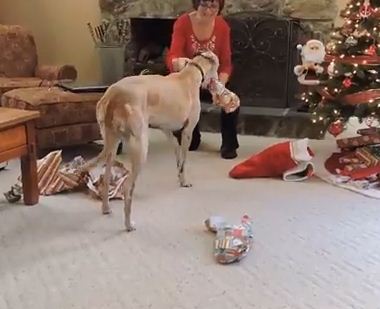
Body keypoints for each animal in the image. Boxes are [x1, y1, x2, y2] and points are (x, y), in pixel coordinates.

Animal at [81, 50, 221, 230]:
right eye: (217, 64)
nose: (218, 79)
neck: (189, 74)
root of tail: (113, 96)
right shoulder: (187, 132)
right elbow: (184, 161)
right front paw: (184, 181)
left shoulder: (167, 130)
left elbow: (177, 155)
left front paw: (179, 174)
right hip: (140, 147)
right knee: (127, 187)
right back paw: (128, 225)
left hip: (112, 145)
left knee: (105, 179)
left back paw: (106, 208)